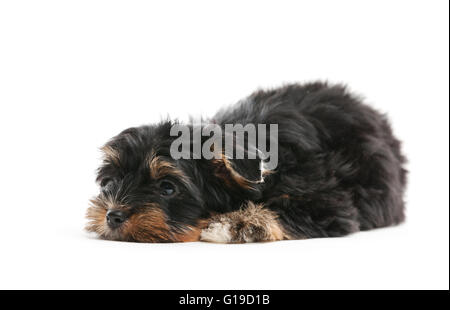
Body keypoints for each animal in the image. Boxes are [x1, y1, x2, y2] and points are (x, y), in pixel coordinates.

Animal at [87, 83, 408, 243]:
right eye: (110, 182)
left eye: (167, 188)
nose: (113, 216)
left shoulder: (326, 201)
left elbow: (280, 209)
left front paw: (234, 224)